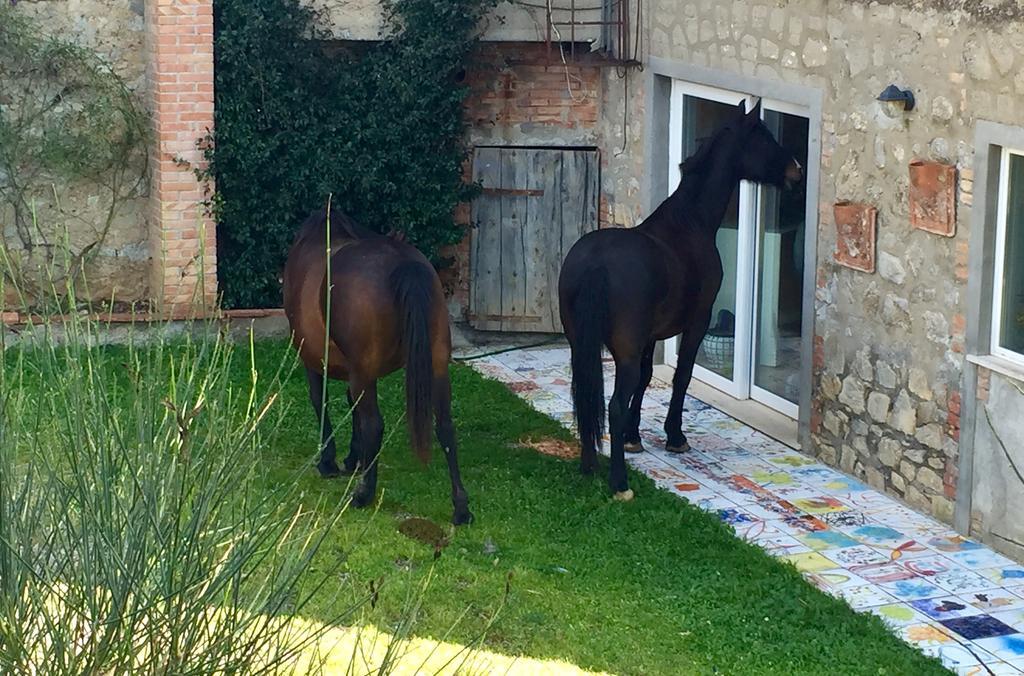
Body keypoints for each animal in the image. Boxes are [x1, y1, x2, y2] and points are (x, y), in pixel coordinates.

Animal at [280, 205, 471, 522]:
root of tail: (402, 263)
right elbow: (351, 405)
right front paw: (353, 457)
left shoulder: (316, 361)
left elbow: (321, 400)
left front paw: (329, 461)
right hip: (436, 365)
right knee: (445, 425)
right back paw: (461, 507)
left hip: (362, 371)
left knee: (375, 425)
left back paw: (363, 494)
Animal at [561, 100, 798, 501]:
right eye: (764, 137)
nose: (796, 169)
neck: (690, 222)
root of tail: (595, 264)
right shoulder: (697, 322)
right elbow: (681, 376)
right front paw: (674, 435)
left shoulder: (650, 337)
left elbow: (647, 377)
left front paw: (634, 437)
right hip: (620, 352)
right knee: (612, 404)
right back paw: (619, 483)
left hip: (579, 344)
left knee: (585, 395)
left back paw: (588, 465)